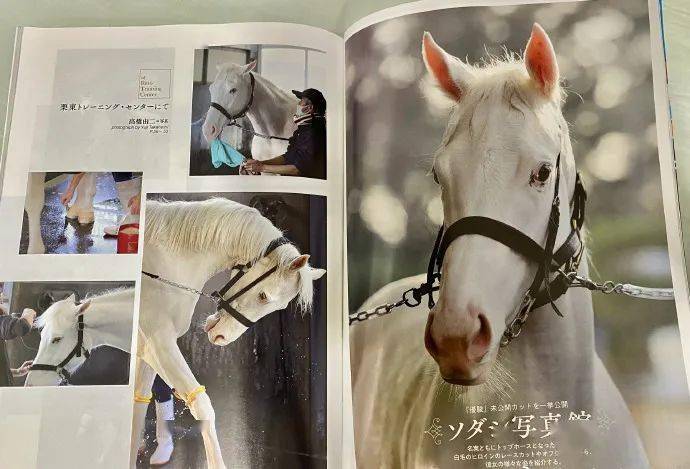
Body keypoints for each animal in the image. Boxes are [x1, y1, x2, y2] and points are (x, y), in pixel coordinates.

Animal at [130, 197, 326, 469]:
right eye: (263, 296)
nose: (222, 337)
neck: (165, 266)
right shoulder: (158, 343)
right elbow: (202, 406)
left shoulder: (148, 349)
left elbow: (138, 404)